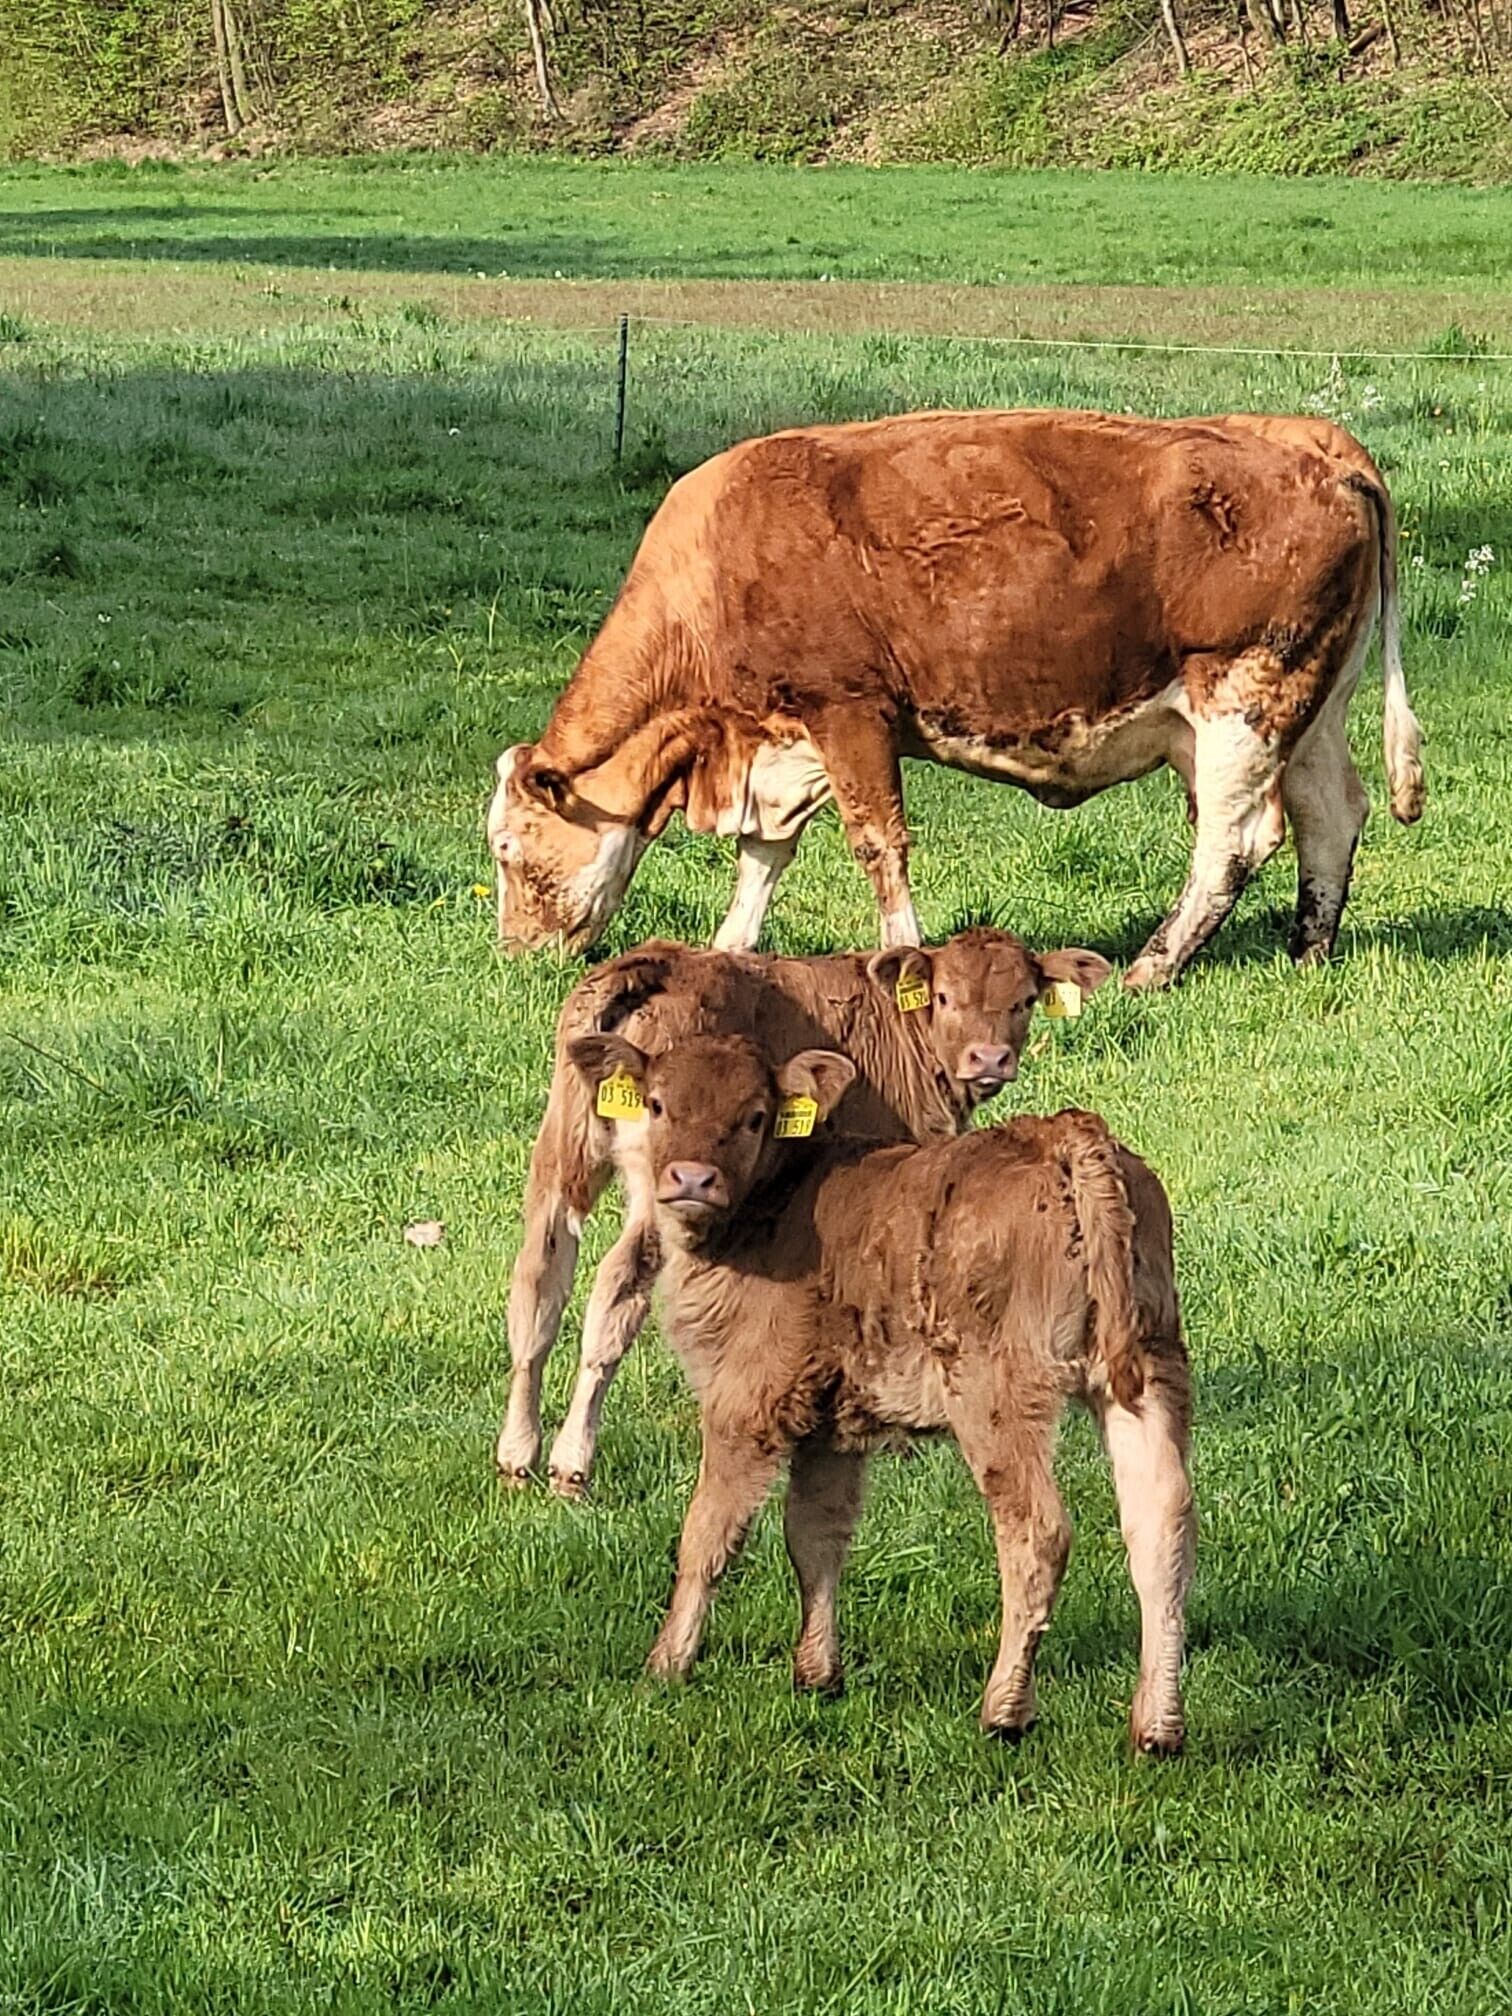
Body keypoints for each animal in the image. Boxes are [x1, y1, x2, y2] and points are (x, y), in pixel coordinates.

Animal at [487, 408, 1423, 987]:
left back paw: (1153, 967)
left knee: (1235, 840)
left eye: (506, 849)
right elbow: (765, 855)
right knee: (1330, 815)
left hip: (1245, 697)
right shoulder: (781, 739)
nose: (514, 953)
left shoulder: (849, 712)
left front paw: (903, 957)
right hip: (1308, 706)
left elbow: (877, 845)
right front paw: (729, 951)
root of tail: (1312, 440)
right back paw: (1308, 951)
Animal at [497, 927, 1112, 1495]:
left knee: (539, 1280)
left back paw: (518, 1453)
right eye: (945, 997)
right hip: (665, 1185)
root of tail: (657, 962)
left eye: (1025, 1000)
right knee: (615, 1291)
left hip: (561, 1152)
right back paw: (571, 1461)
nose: (989, 1058)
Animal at [562, 1029, 1195, 1752]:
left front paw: (665, 1664)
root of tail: (1063, 1134)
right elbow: (815, 1535)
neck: (771, 1209)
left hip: (997, 1388)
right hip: (1150, 1366)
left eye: (754, 1116)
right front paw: (817, 1674)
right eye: (659, 1104)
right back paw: (1158, 1726)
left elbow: (708, 1533)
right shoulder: (831, 1421)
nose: (691, 1179)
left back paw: (1004, 1709)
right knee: (1162, 1526)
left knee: (1038, 1531)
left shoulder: (746, 1400)